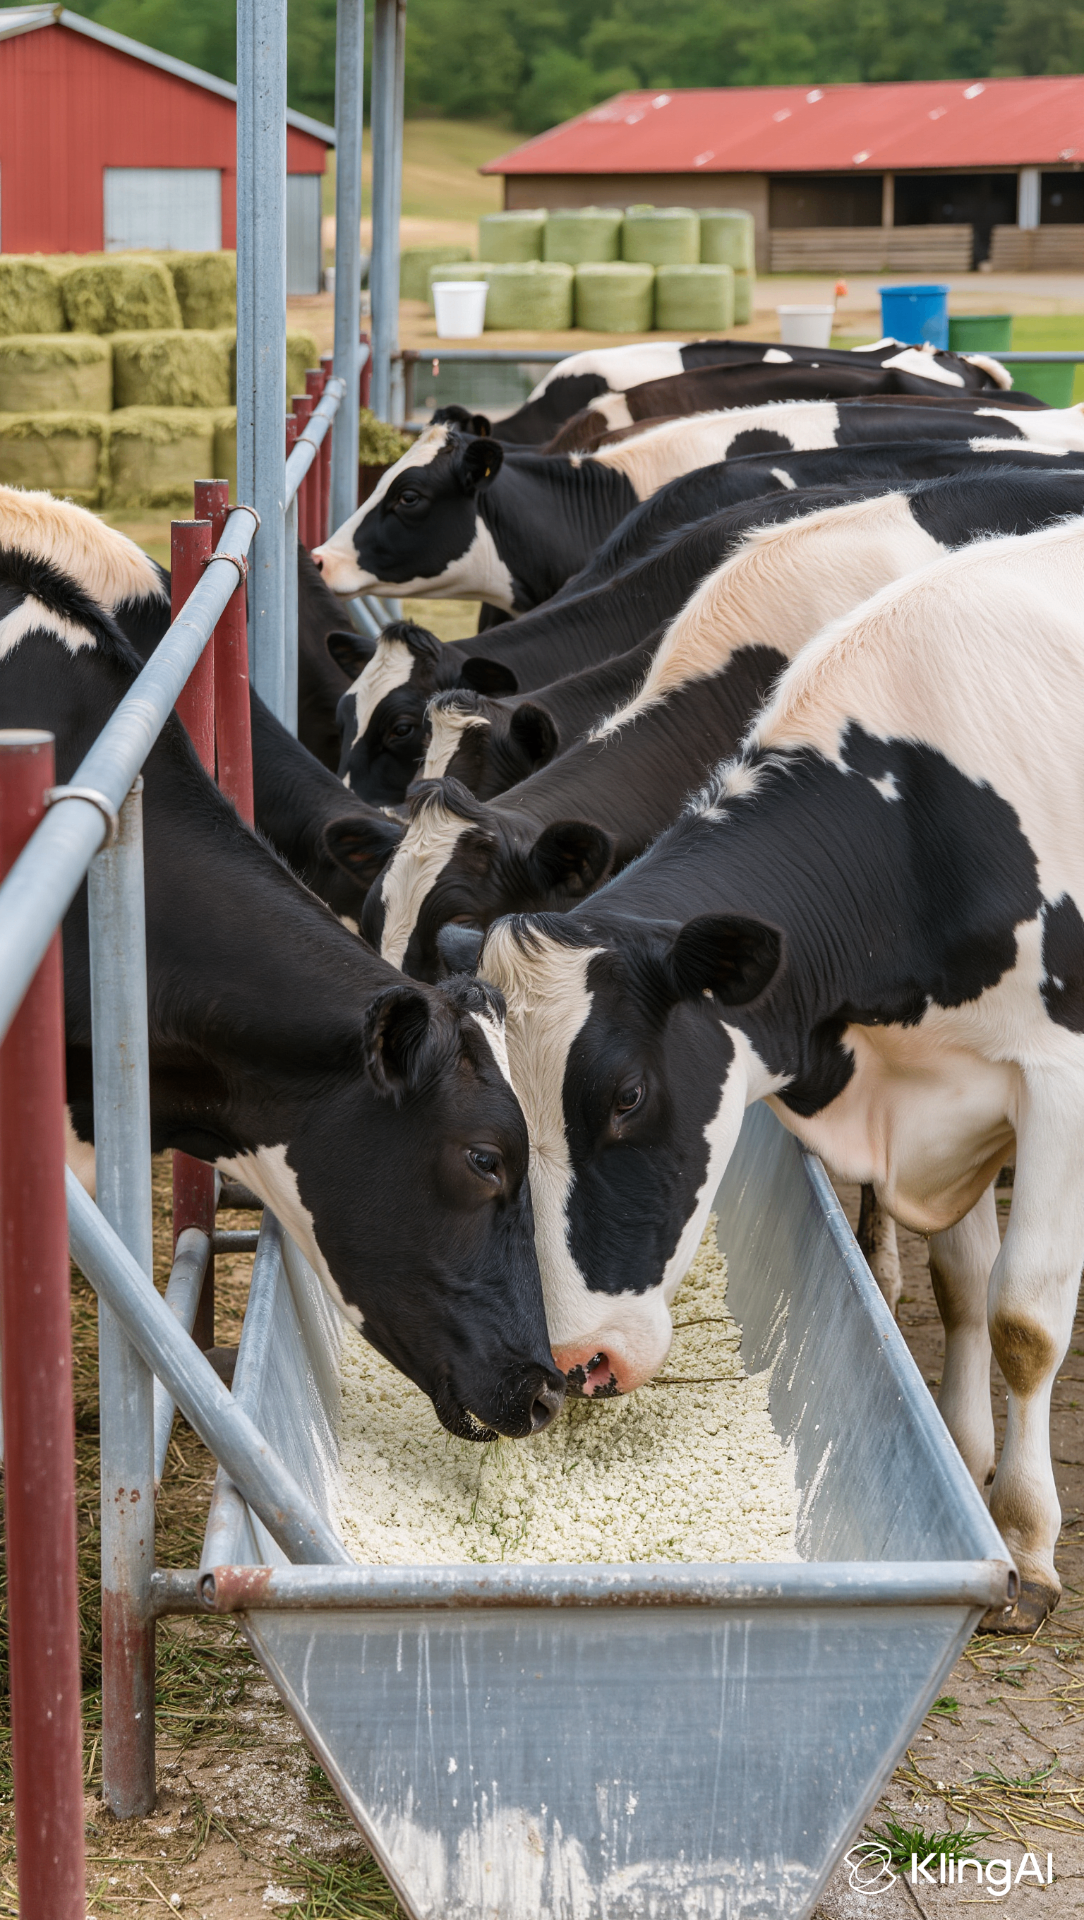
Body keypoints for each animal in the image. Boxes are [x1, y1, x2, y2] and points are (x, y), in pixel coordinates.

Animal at [466, 516, 1084, 1626]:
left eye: (628, 1095)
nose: (576, 1361)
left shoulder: (1055, 1079)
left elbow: (1024, 1316)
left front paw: (1024, 1540)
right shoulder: (954, 1088)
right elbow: (965, 1280)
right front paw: (960, 1454)